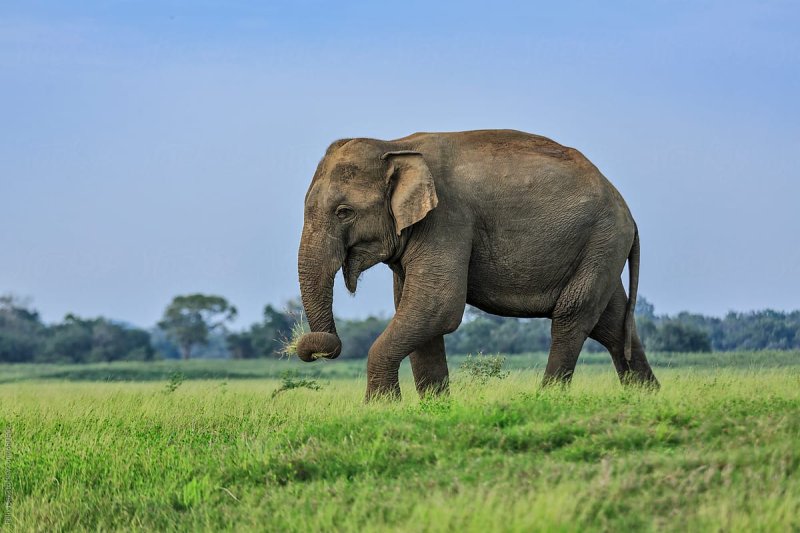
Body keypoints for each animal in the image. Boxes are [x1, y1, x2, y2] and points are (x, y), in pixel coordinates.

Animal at [296, 129, 659, 400]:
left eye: (344, 212)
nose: (318, 350)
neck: (394, 145)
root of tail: (628, 212)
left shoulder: (447, 219)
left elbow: (436, 306)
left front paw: (381, 407)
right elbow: (415, 310)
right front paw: (435, 407)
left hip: (602, 240)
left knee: (572, 317)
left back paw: (546, 398)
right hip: (602, 248)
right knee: (612, 324)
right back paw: (646, 396)